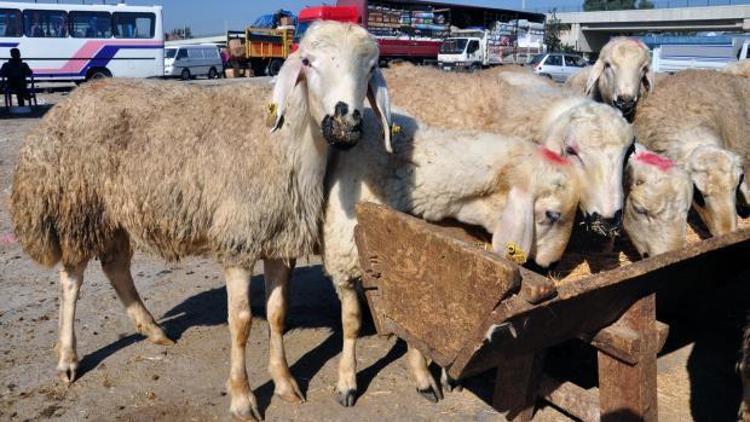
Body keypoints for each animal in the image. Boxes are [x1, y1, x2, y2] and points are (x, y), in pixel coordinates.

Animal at [10, 20, 394, 422]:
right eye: (307, 61)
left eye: (372, 67)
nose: (346, 123)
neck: (285, 143)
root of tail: (64, 106)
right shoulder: (239, 239)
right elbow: (240, 322)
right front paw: (242, 397)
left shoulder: (278, 239)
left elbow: (277, 314)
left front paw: (285, 383)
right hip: (77, 207)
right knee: (71, 281)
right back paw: (68, 359)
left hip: (117, 213)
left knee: (116, 268)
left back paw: (153, 330)